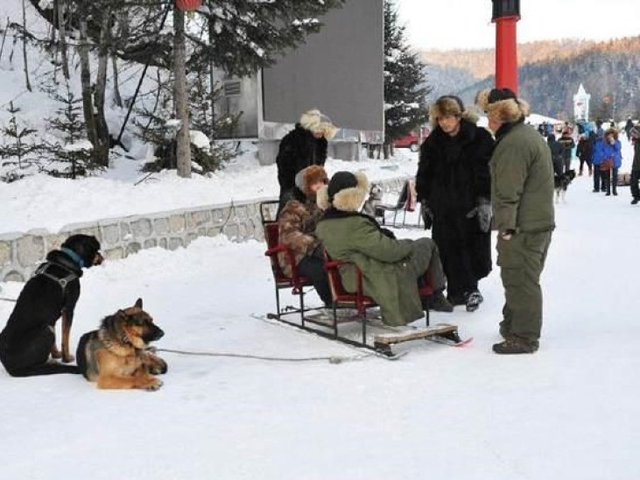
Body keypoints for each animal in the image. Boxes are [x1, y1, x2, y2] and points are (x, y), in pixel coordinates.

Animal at [0, 234, 104, 376]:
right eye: (97, 249)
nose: (103, 258)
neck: (69, 259)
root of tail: (10, 368)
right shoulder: (68, 309)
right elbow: (65, 338)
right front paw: (66, 358)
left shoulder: (52, 316)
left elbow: (55, 341)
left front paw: (56, 354)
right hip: (45, 329)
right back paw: (51, 363)